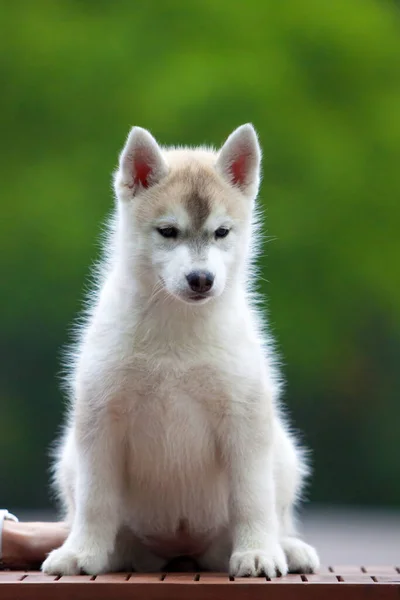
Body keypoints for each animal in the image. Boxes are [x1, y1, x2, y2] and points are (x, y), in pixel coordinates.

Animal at [41, 124, 318, 580]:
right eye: (168, 231)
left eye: (222, 232)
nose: (201, 279)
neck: (177, 332)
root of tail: (180, 550)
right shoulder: (100, 417)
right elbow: (96, 500)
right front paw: (81, 553)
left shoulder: (245, 416)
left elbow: (252, 498)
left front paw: (258, 552)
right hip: (68, 457)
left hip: (284, 452)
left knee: (275, 512)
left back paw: (287, 547)